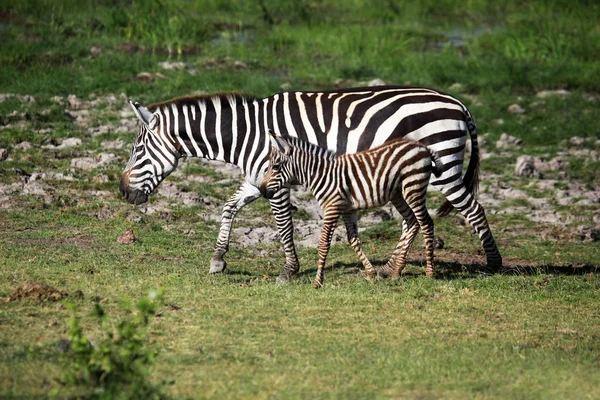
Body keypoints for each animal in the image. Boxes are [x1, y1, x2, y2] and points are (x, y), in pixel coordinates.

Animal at [260, 134, 442, 288]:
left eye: (275, 167)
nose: (262, 191)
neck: (321, 175)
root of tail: (423, 147)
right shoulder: (347, 209)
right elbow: (353, 240)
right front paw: (371, 272)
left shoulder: (332, 207)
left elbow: (324, 244)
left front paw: (318, 282)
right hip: (398, 193)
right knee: (412, 222)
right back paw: (397, 271)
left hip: (413, 187)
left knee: (426, 223)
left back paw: (429, 272)